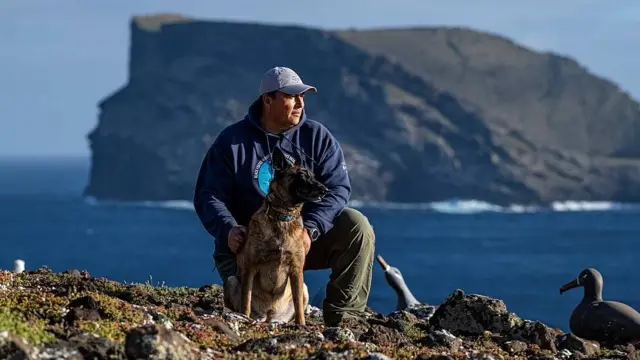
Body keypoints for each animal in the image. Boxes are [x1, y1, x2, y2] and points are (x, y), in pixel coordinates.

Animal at [222, 145, 328, 324]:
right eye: (301, 176)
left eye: (313, 176)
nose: (325, 190)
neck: (283, 216)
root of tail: (269, 315)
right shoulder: (251, 267)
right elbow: (246, 300)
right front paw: (244, 316)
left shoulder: (296, 270)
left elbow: (299, 307)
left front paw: (302, 325)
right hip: (231, 281)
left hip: (304, 288)